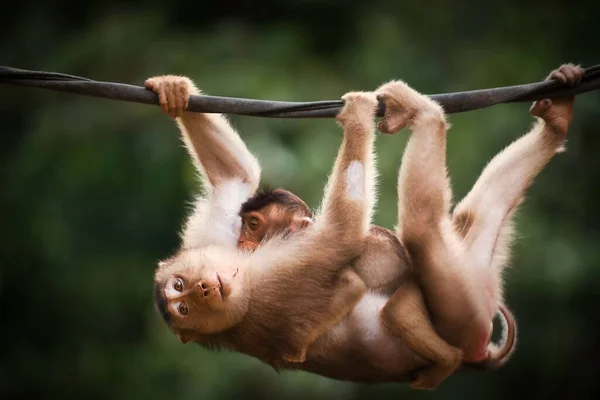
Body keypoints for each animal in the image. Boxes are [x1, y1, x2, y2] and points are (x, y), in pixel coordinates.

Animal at [149, 64, 580, 390]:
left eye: (180, 286)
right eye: (183, 304)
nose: (205, 289)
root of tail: (477, 353)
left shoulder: (216, 250)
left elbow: (234, 178)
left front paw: (176, 91)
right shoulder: (269, 289)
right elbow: (343, 233)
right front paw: (356, 115)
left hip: (474, 274)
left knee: (474, 215)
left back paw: (556, 123)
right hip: (465, 307)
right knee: (422, 233)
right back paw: (426, 116)